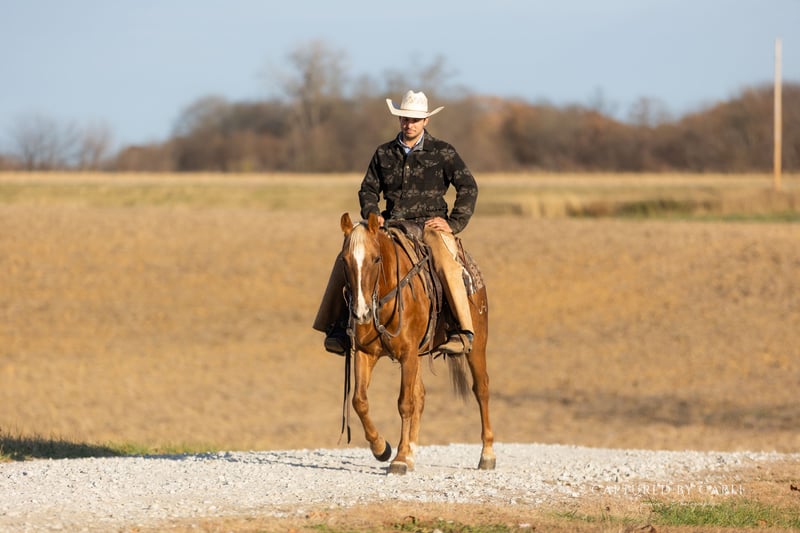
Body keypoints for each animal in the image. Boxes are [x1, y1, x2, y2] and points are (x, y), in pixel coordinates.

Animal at [338, 211, 495, 475]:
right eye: (344, 260)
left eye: (376, 258)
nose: (361, 313)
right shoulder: (365, 353)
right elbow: (360, 400)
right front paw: (382, 448)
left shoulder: (408, 354)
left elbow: (405, 403)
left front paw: (399, 458)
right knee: (420, 396)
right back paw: (411, 453)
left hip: (477, 344)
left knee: (481, 388)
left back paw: (487, 455)